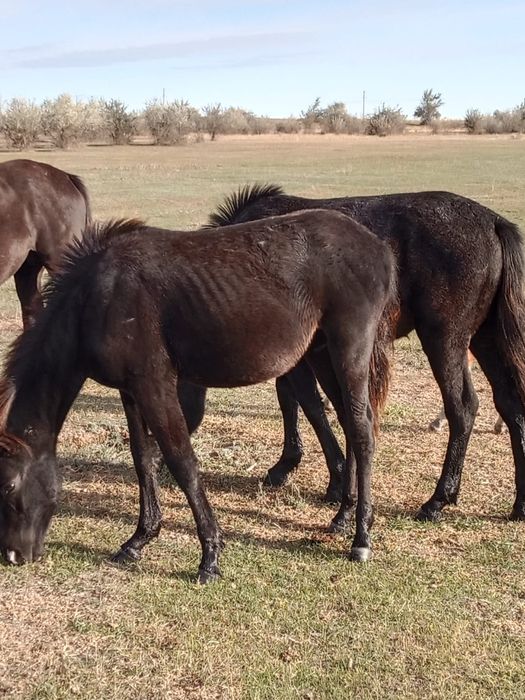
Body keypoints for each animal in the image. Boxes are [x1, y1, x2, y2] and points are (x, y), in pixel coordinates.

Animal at [0, 210, 397, 582]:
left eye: (9, 485)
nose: (14, 556)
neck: (97, 300)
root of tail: (376, 245)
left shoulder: (155, 384)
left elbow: (182, 462)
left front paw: (210, 555)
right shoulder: (130, 391)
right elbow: (142, 459)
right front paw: (139, 539)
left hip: (349, 351)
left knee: (361, 429)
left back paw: (361, 538)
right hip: (321, 354)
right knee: (349, 422)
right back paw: (343, 516)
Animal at [176, 183, 525, 528]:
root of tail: (493, 222)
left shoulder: (300, 356)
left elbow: (309, 405)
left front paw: (331, 478)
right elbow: (293, 401)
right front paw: (293, 465)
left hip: (445, 339)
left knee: (462, 408)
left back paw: (438, 499)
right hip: (486, 339)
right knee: (511, 404)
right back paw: (519, 505)